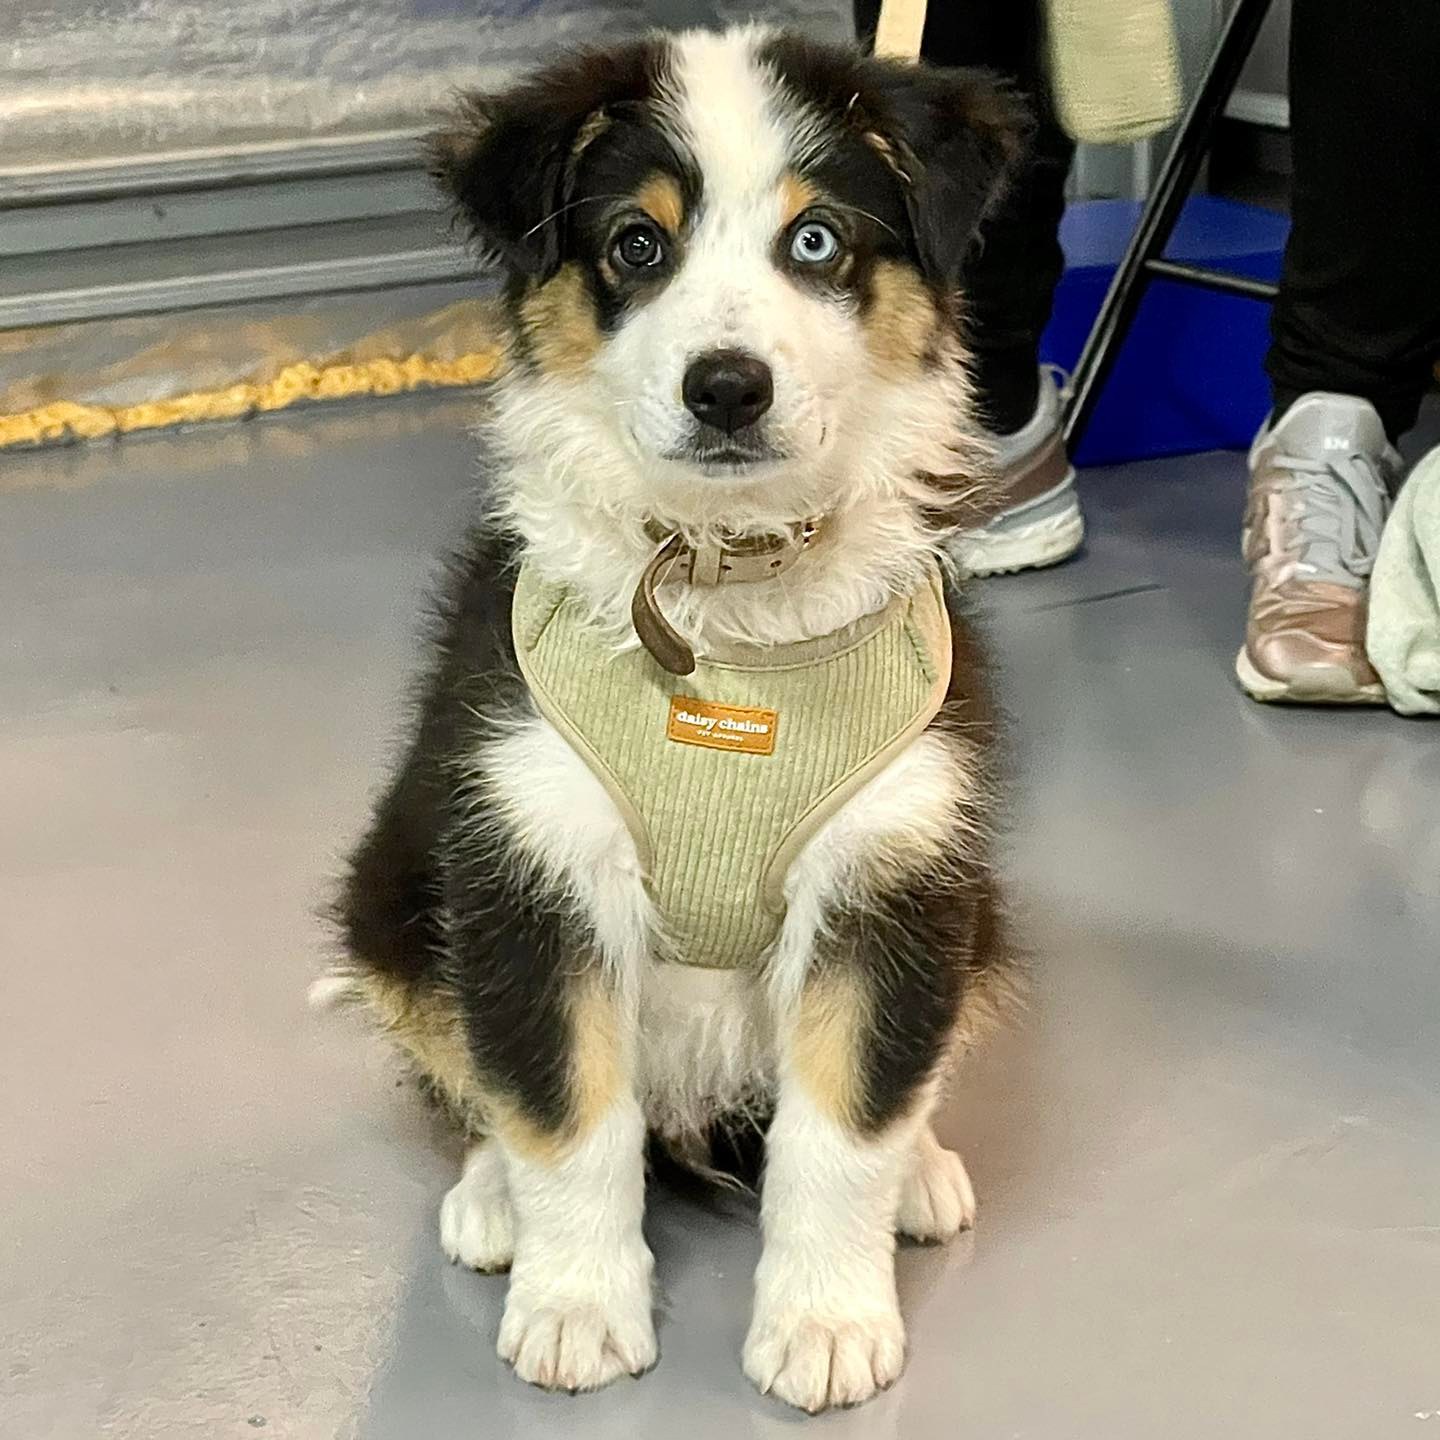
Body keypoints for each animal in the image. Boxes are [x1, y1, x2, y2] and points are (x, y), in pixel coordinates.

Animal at [322, 25, 1031, 1416]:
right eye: (636, 246)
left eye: (817, 240)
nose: (727, 389)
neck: (726, 599)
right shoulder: (531, 855)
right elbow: (560, 1107)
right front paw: (576, 1309)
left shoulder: (894, 865)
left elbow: (843, 1122)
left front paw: (825, 1323)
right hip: (397, 893)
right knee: (481, 1072)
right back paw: (493, 1201)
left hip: (976, 912)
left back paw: (920, 1174)